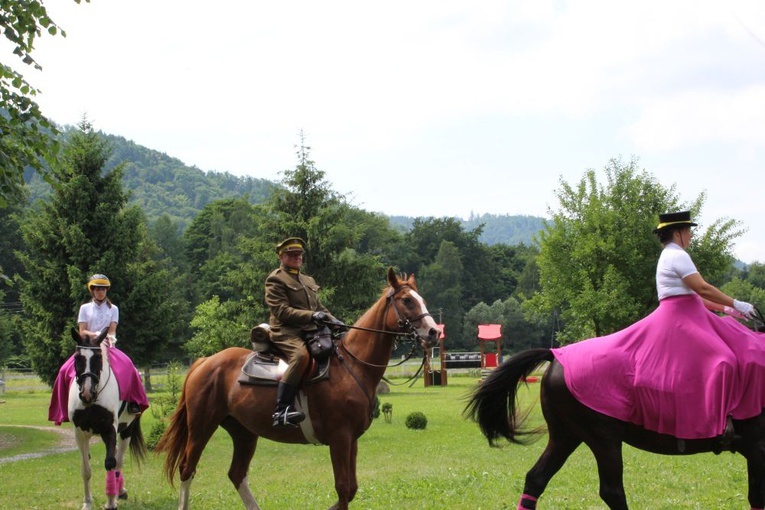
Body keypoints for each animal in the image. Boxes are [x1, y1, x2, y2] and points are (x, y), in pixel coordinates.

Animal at [154, 268, 436, 508]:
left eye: (421, 299)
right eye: (407, 300)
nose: (434, 332)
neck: (352, 364)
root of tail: (204, 362)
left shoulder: (351, 439)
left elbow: (350, 490)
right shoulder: (340, 437)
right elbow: (343, 489)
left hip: (244, 432)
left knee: (237, 474)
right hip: (201, 426)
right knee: (187, 469)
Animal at [462, 348, 764, 510]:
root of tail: (558, 356)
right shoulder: (758, 451)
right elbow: (757, 495)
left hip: (565, 437)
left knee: (536, 479)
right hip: (603, 438)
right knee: (612, 491)